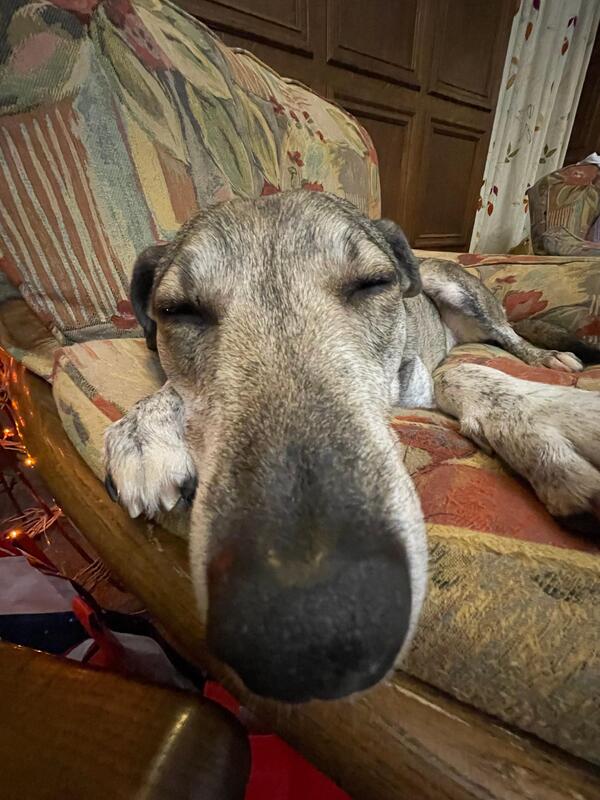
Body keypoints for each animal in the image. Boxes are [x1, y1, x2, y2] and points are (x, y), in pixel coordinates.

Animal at [103, 191, 600, 704]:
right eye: (178, 311)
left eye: (373, 284)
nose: (312, 623)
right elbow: (172, 390)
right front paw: (143, 431)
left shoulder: (418, 381)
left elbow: (462, 376)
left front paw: (550, 443)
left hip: (461, 293)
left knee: (510, 337)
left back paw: (548, 357)